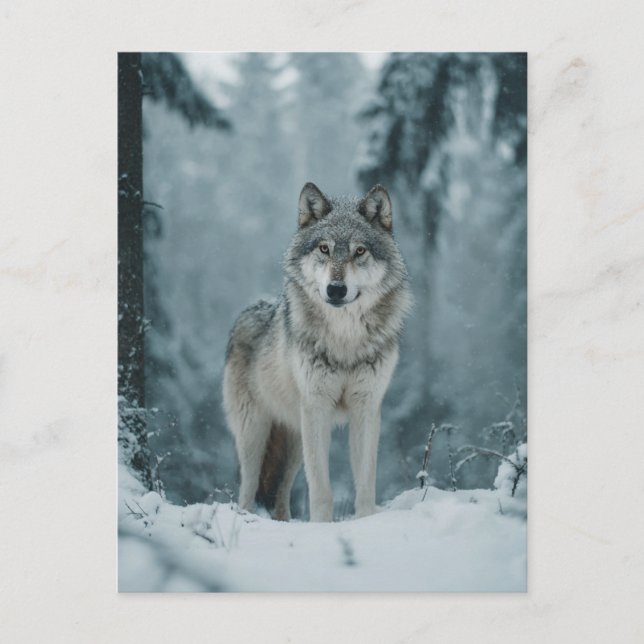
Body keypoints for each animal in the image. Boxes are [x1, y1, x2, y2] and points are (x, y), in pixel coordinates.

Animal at [223, 182, 411, 522]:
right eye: (324, 248)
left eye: (359, 251)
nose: (336, 289)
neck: (345, 339)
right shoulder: (317, 407)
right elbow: (321, 488)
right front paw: (322, 526)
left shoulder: (366, 407)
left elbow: (366, 482)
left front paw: (366, 521)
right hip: (256, 433)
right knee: (247, 488)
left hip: (294, 442)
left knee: (281, 494)